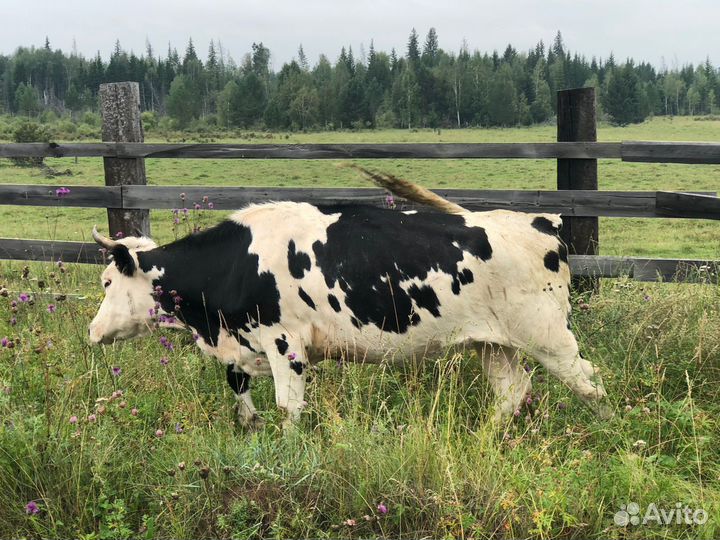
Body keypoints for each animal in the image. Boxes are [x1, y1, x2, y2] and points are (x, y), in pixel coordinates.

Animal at [89, 170, 612, 427]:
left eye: (108, 283)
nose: (92, 332)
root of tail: (541, 222)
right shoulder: (244, 345)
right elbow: (238, 389)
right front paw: (248, 426)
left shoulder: (285, 344)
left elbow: (289, 408)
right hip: (493, 344)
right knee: (512, 392)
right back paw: (486, 437)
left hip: (549, 337)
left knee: (590, 383)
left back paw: (611, 433)